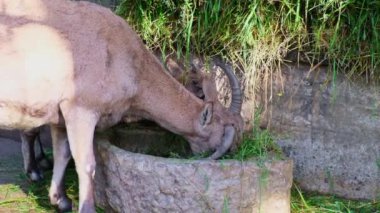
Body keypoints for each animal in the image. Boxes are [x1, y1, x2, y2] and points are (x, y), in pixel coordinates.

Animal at [0, 0, 242, 212]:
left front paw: (60, 200)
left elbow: (63, 153)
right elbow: (86, 163)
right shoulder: (81, 109)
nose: (233, 152)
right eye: (222, 134)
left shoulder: (60, 114)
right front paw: (85, 207)